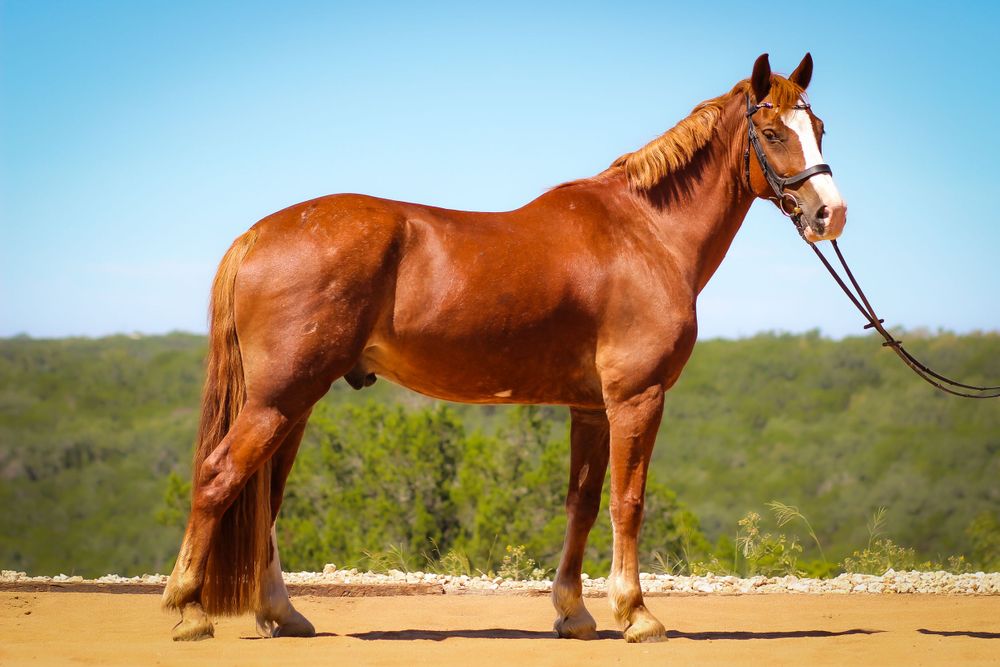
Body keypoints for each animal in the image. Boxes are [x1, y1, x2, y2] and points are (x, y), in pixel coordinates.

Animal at [162, 52, 846, 643]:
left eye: (817, 128)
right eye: (772, 132)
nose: (830, 215)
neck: (645, 232)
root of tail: (257, 234)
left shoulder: (590, 409)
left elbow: (582, 504)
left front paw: (574, 614)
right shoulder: (637, 398)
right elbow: (628, 501)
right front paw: (637, 614)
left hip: (294, 402)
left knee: (265, 498)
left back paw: (280, 614)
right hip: (280, 398)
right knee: (220, 477)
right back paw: (189, 610)